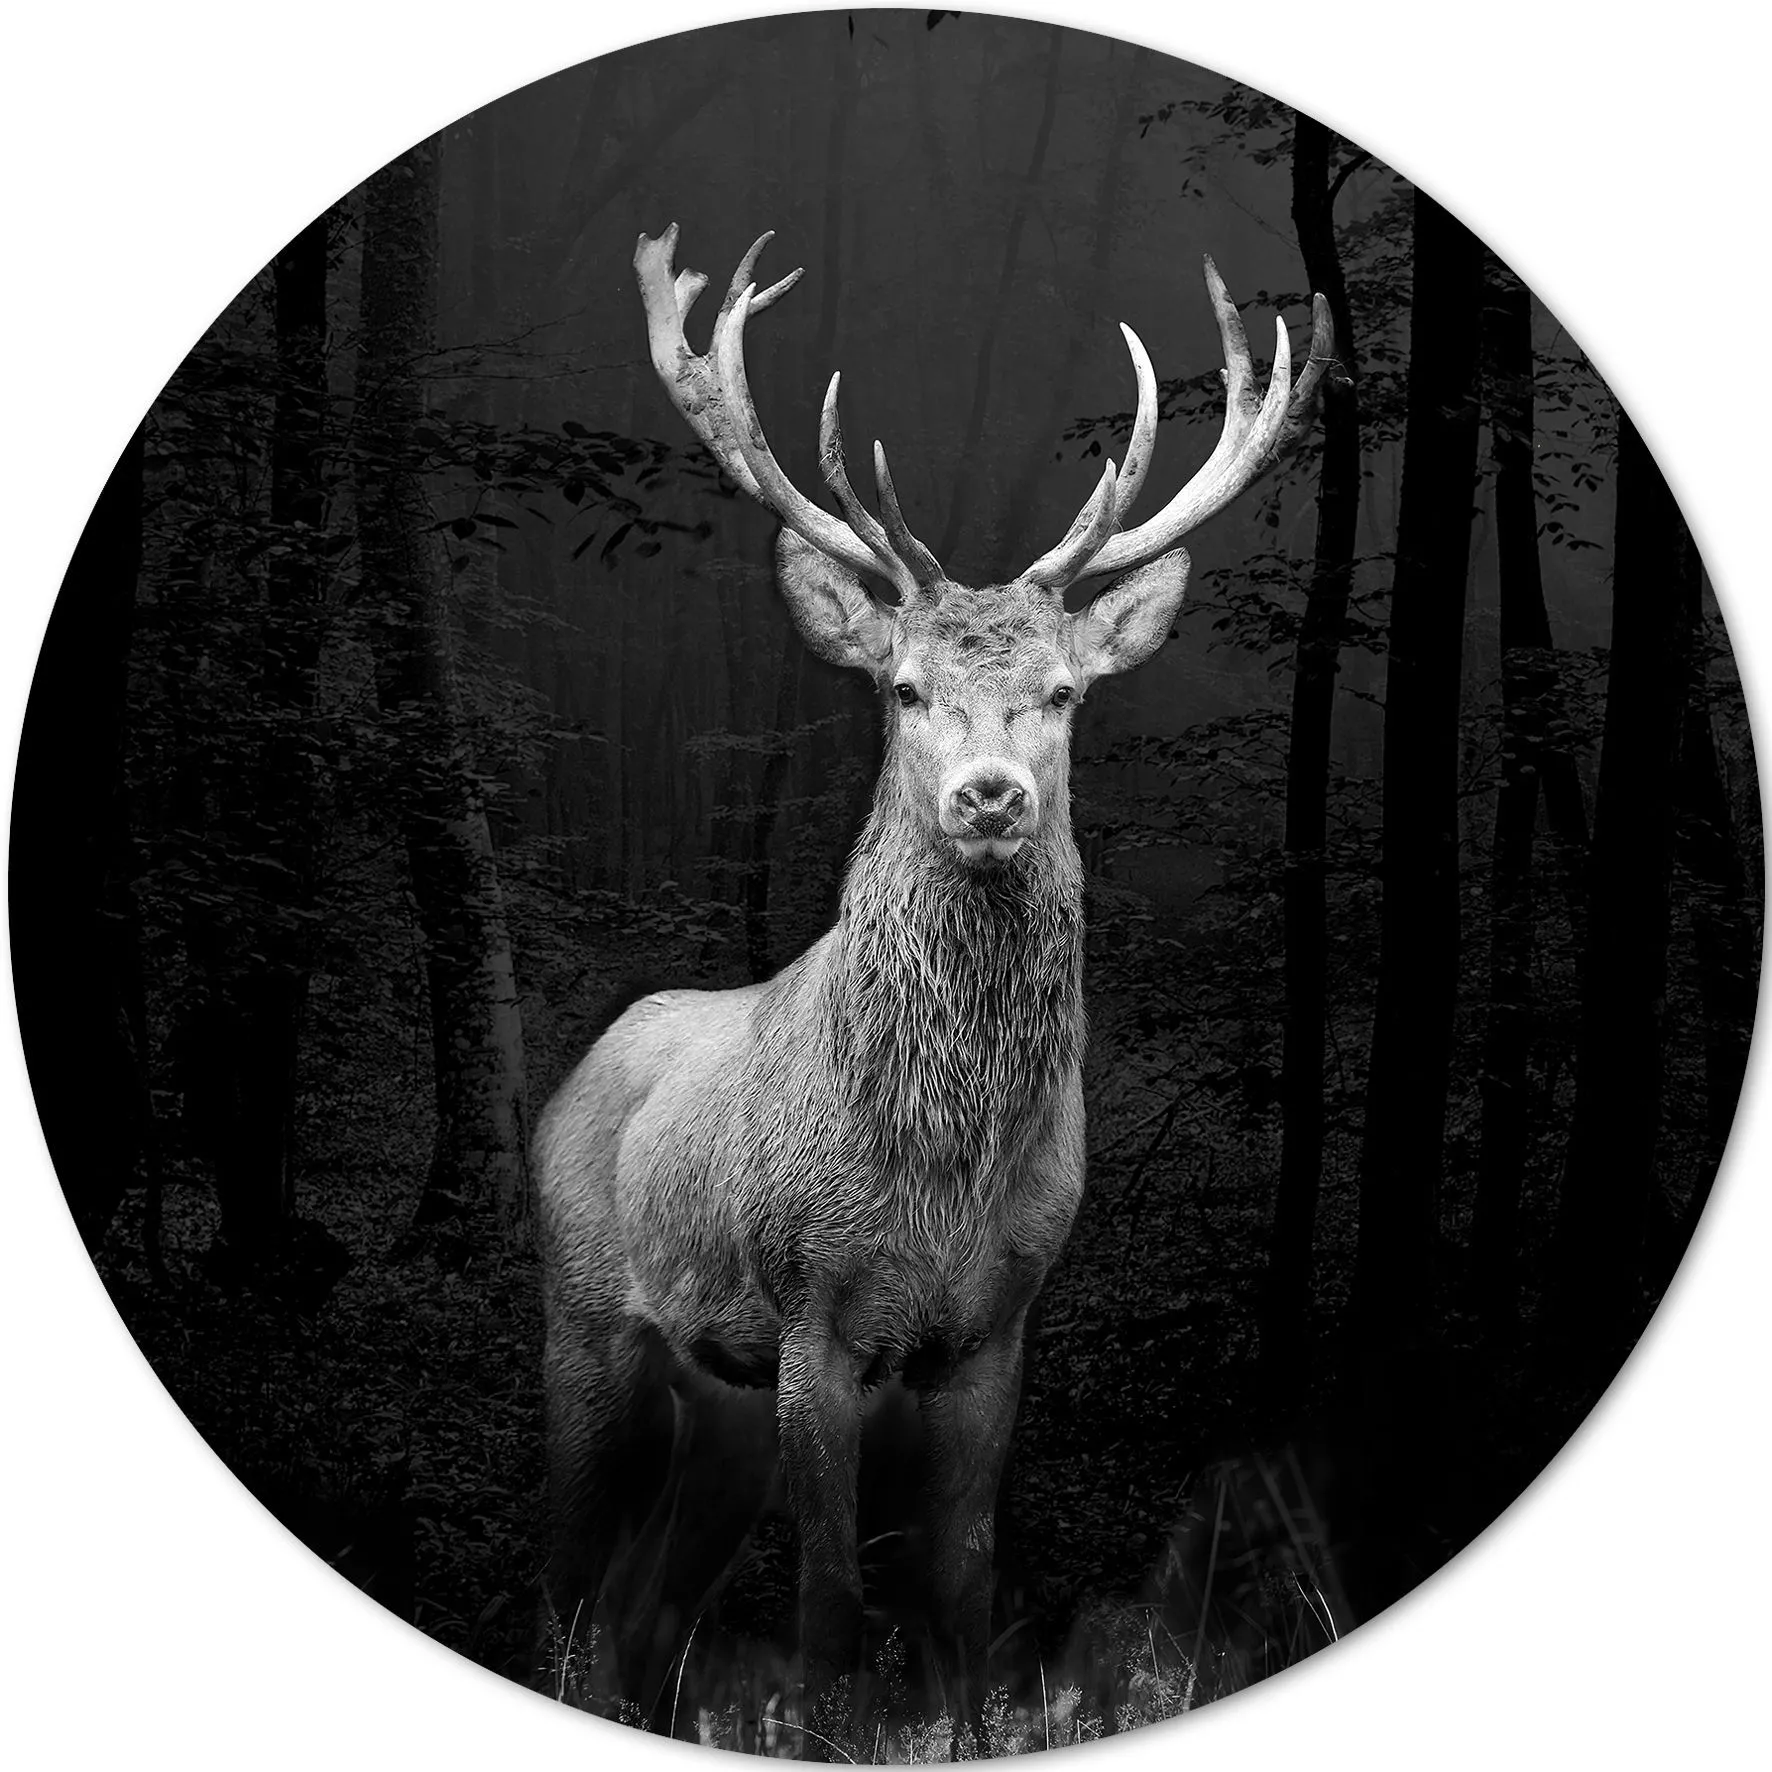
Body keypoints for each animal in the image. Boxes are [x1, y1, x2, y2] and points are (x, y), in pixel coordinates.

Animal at [535, 221, 1333, 1740]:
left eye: (1065, 695)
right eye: (902, 687)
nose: (989, 793)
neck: (939, 1174)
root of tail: (570, 1077)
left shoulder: (998, 1325)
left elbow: (959, 1586)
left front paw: (960, 1723)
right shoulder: (810, 1307)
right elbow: (831, 1597)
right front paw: (827, 1724)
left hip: (714, 1395)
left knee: (643, 1604)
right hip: (587, 1315)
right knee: (570, 1573)